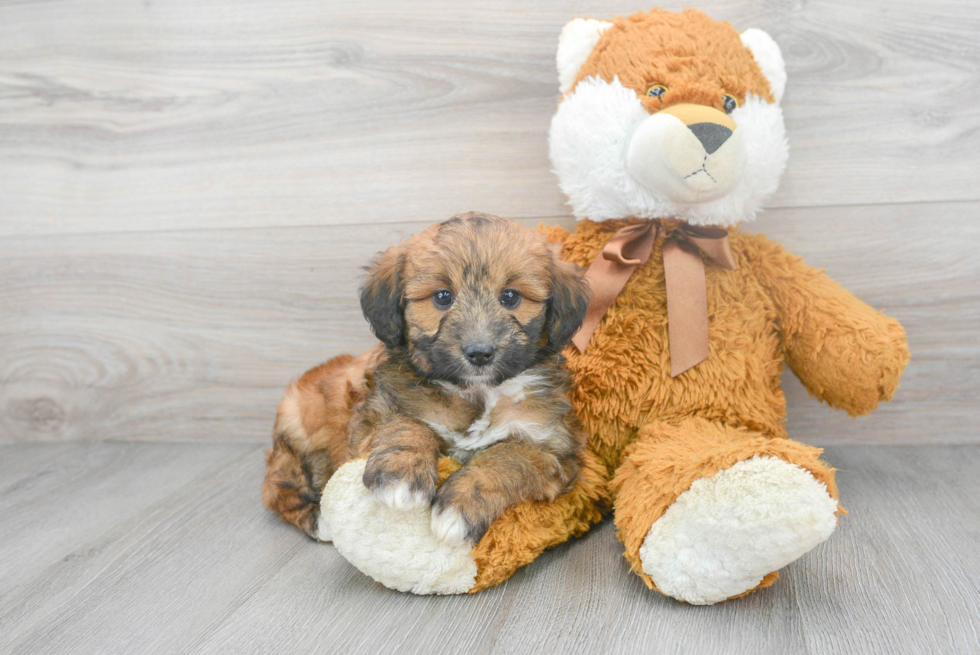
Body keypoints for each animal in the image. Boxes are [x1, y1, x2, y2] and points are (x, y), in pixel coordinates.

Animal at [260, 213, 592, 544]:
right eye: (443, 297)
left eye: (510, 296)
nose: (479, 353)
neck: (477, 393)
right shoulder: (372, 416)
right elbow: (405, 424)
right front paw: (401, 474)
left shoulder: (552, 446)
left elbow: (507, 457)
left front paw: (462, 504)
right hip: (297, 438)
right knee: (277, 489)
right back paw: (318, 520)